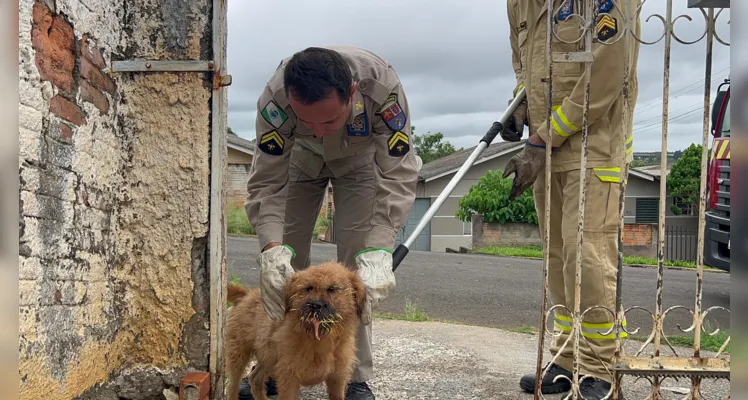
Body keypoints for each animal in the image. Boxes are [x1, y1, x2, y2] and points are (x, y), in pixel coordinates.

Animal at [226, 260, 370, 400]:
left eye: (332, 289)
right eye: (308, 288)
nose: (315, 305)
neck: (319, 340)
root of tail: (246, 294)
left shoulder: (337, 378)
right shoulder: (288, 378)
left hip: (268, 357)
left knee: (255, 378)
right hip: (239, 355)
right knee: (233, 386)